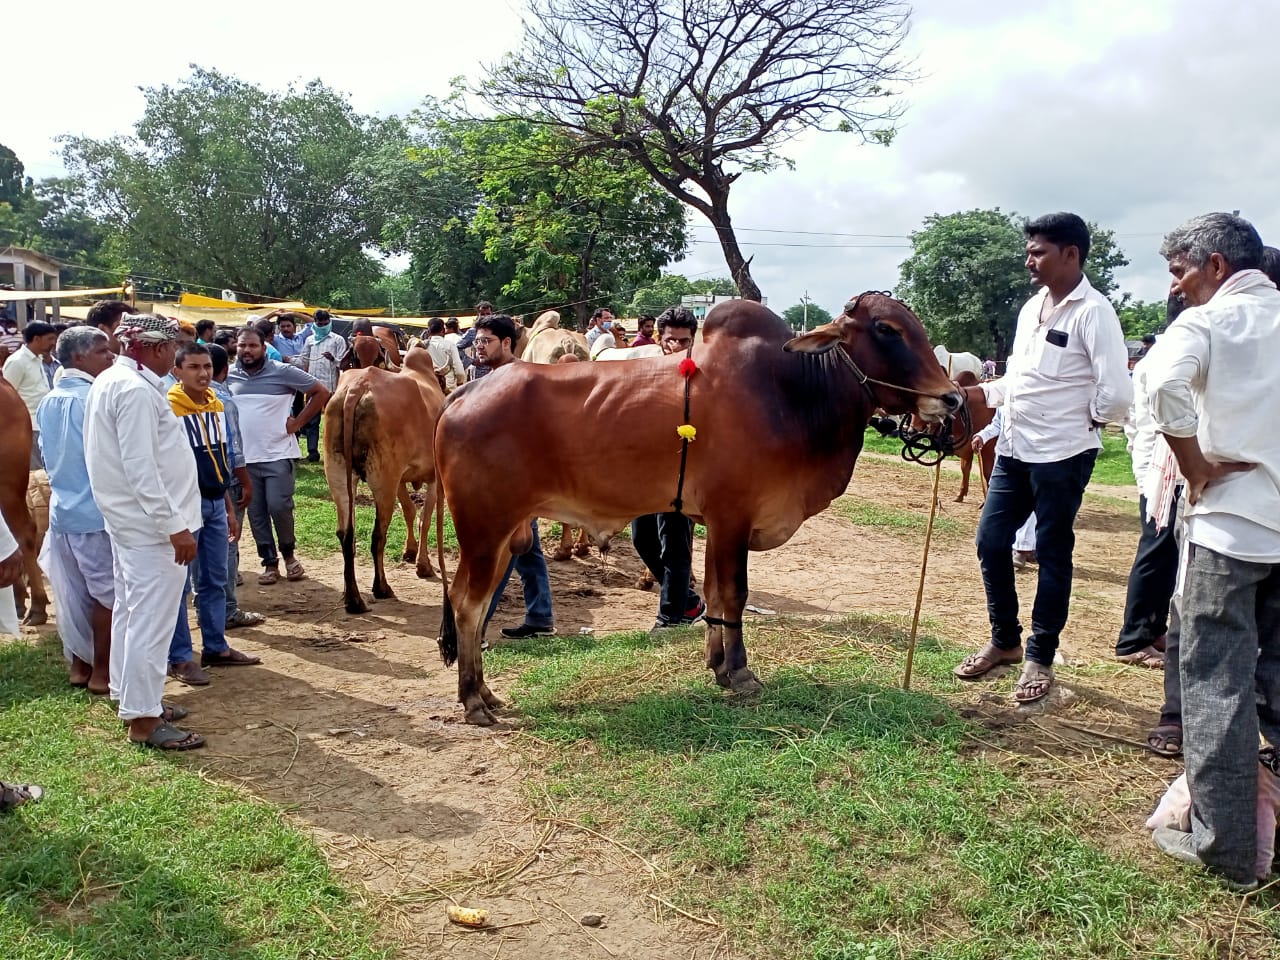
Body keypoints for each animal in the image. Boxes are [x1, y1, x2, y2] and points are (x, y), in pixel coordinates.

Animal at [325, 350, 445, 611]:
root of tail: (357, 387)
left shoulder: (400, 478)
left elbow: (410, 511)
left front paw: (410, 552)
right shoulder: (431, 477)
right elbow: (425, 519)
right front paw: (423, 565)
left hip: (339, 474)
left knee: (346, 534)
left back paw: (353, 598)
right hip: (383, 480)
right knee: (377, 536)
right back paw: (381, 588)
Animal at [432, 296, 962, 727]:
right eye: (887, 329)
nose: (952, 397)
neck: (791, 392)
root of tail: (460, 394)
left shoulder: (716, 521)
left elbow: (713, 596)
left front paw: (718, 666)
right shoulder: (734, 518)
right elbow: (734, 595)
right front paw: (740, 672)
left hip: (506, 535)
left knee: (475, 602)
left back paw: (486, 694)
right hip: (484, 529)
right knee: (467, 602)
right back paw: (473, 700)